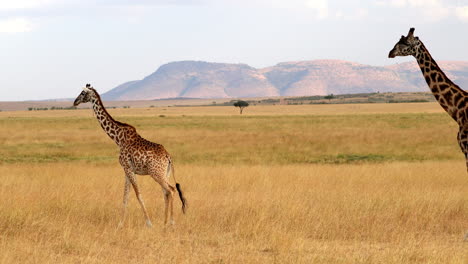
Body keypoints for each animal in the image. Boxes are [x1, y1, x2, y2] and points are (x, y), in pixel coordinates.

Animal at [73, 83, 186, 227]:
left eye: (82, 93)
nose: (75, 102)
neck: (118, 139)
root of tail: (168, 157)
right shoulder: (127, 170)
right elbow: (125, 197)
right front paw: (120, 224)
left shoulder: (128, 168)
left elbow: (138, 194)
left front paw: (149, 223)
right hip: (165, 173)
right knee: (166, 192)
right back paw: (164, 222)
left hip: (156, 173)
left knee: (171, 190)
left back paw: (171, 223)